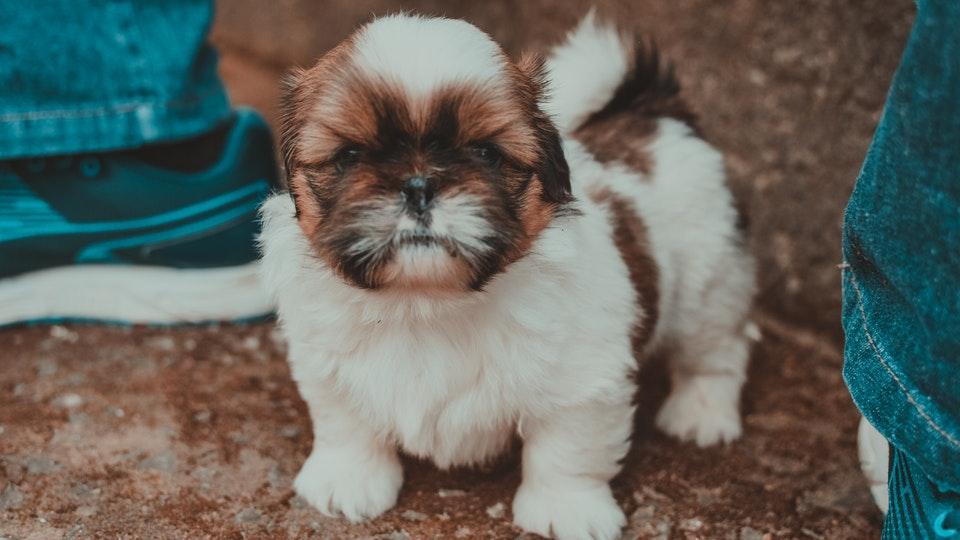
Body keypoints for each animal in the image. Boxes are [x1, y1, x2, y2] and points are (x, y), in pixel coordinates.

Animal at [258, 9, 752, 540]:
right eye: (349, 156)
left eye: (486, 154)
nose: (418, 185)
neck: (424, 303)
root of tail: (654, 114)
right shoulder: (325, 362)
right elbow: (345, 421)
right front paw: (347, 479)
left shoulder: (582, 378)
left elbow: (567, 449)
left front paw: (566, 509)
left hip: (710, 286)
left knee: (717, 351)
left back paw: (702, 413)